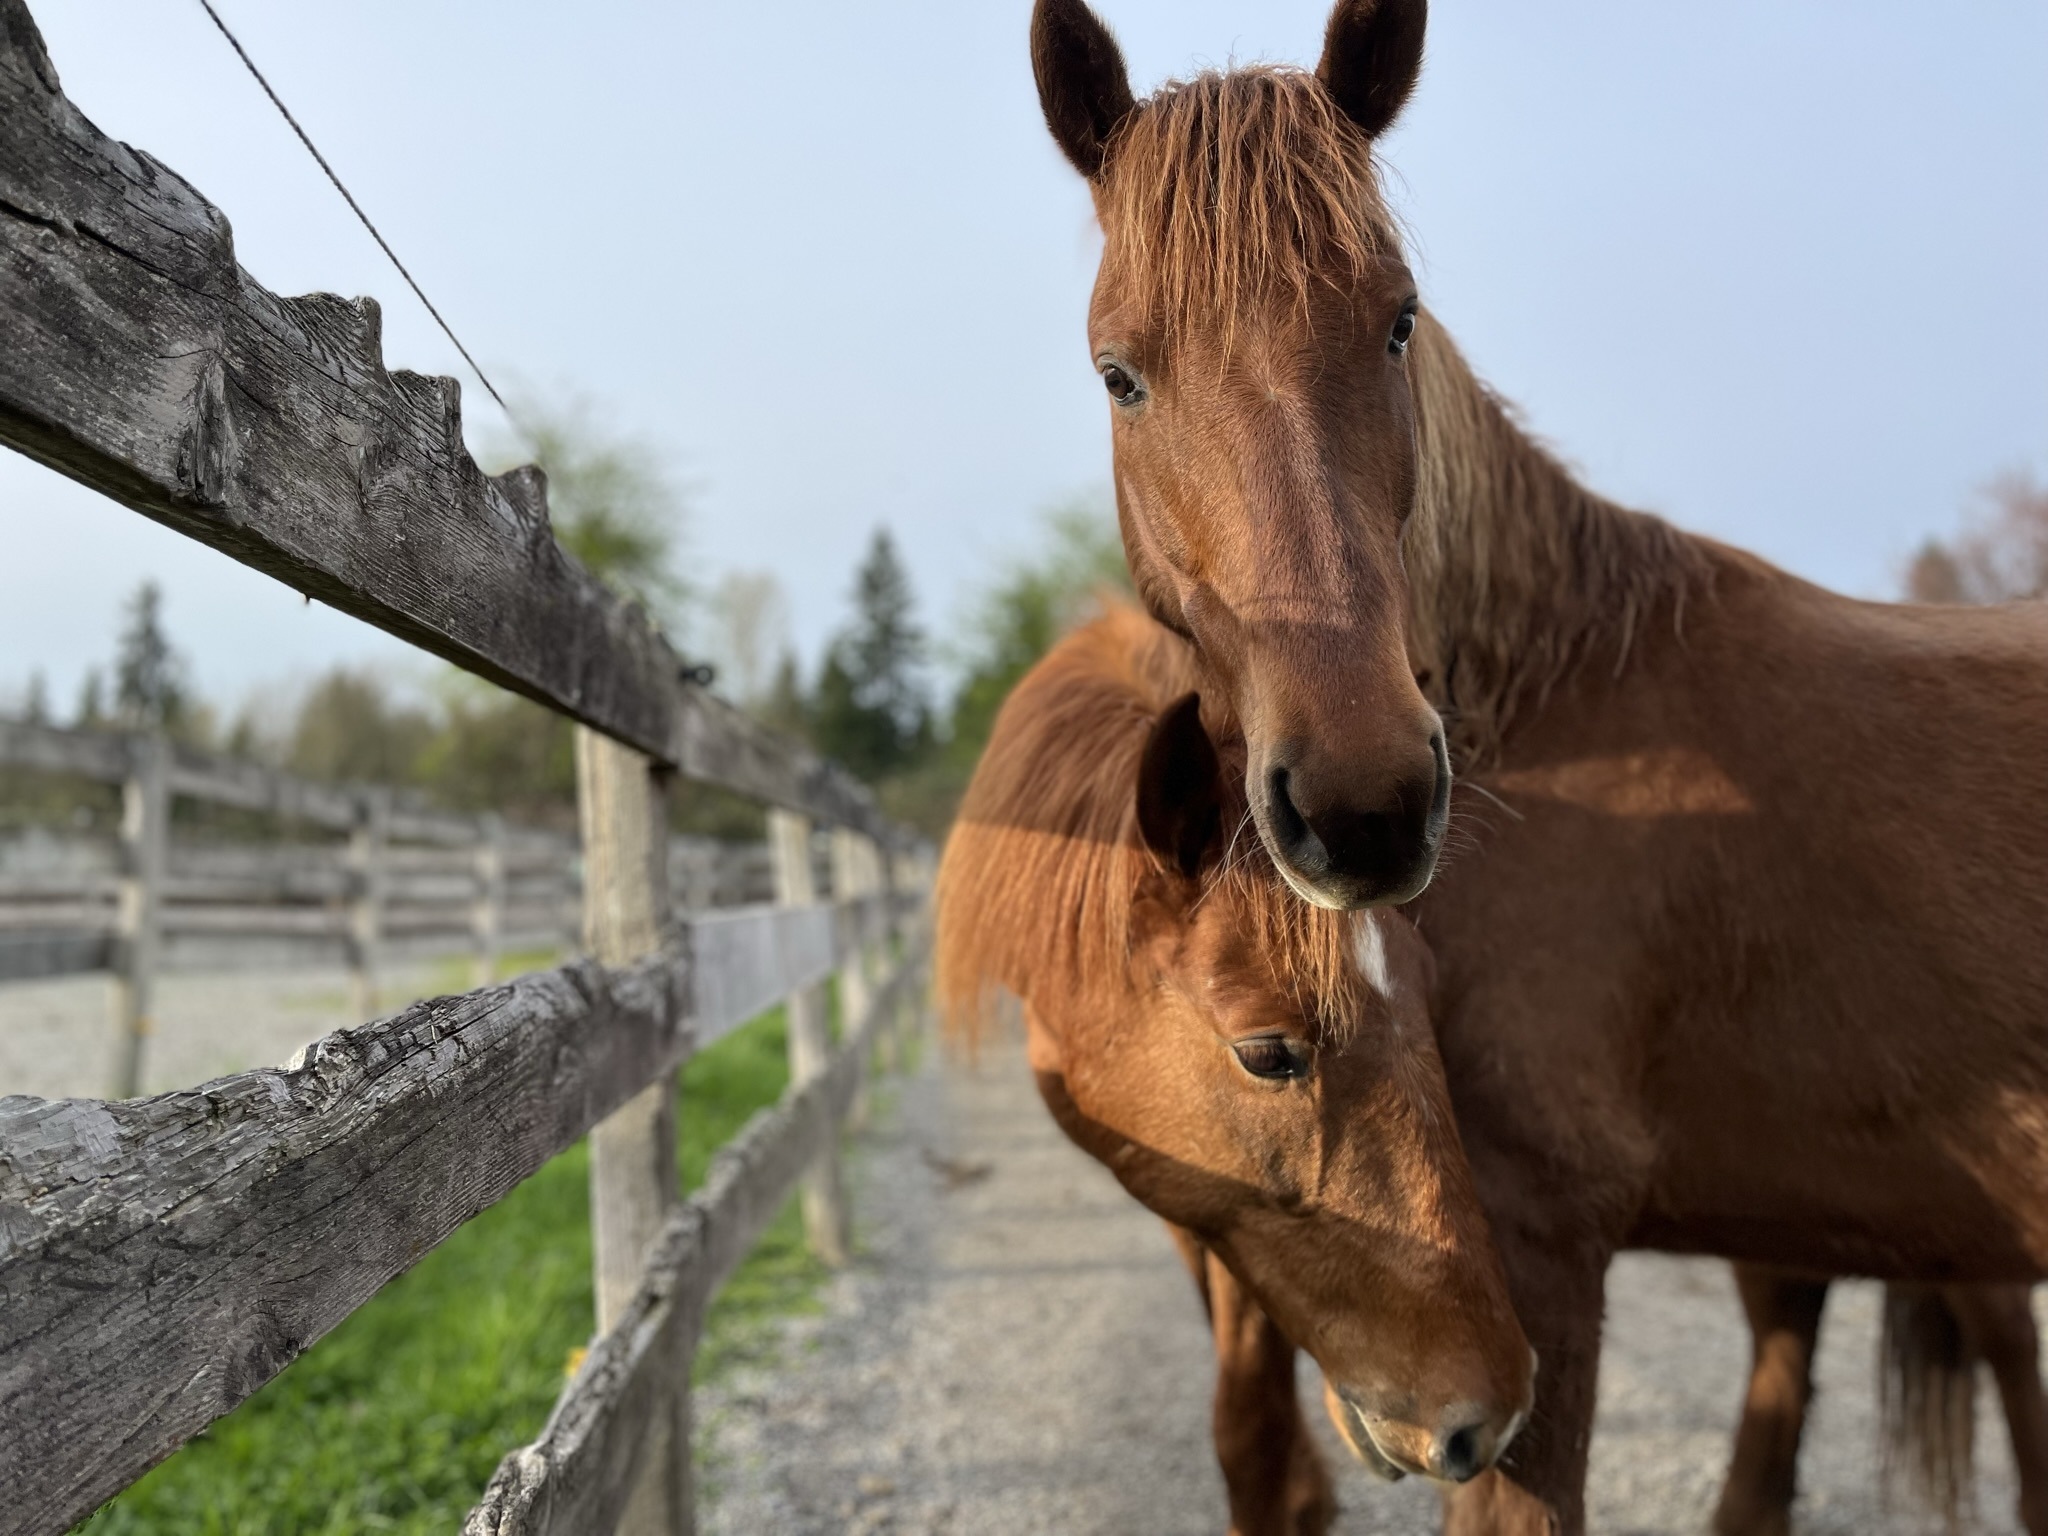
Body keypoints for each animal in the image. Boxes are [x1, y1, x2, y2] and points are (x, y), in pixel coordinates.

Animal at [937, 606, 1531, 1531]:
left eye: (1431, 998)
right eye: (1266, 1054)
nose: (1492, 1416)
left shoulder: (1234, 1224)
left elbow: (1253, 1416)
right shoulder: (1199, 1198)